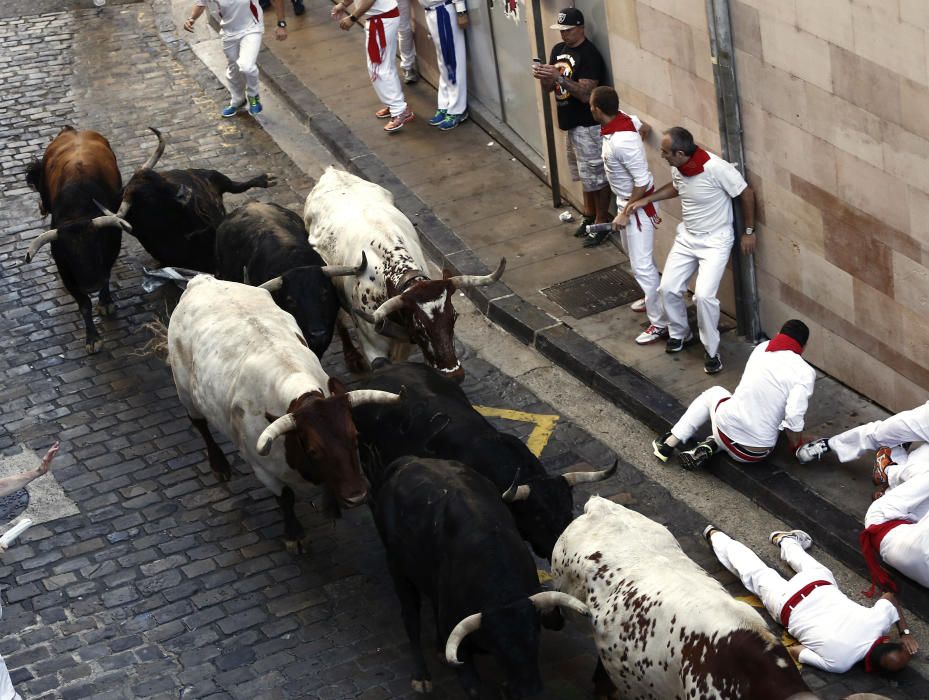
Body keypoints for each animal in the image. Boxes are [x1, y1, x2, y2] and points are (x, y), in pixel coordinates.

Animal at [24, 126, 131, 352]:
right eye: (68, 255)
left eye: (97, 245)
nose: (91, 285)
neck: (77, 212)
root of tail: (72, 131)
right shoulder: (66, 272)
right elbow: (84, 305)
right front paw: (92, 338)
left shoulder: (109, 254)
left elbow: (106, 276)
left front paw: (105, 302)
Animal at [169, 274, 400, 552]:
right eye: (313, 450)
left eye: (355, 437)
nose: (357, 496)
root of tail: (202, 281)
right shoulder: (263, 468)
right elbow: (285, 498)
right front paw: (294, 535)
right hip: (184, 390)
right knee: (200, 424)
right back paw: (219, 465)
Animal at [302, 168, 504, 382]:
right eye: (419, 327)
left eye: (454, 317)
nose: (454, 375)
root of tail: (332, 172)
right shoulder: (372, 345)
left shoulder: (405, 342)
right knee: (339, 318)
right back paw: (352, 356)